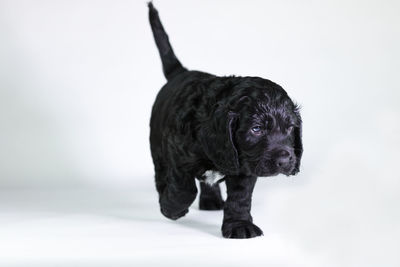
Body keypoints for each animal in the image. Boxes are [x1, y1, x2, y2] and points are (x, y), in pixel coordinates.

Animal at [148, 3, 302, 240]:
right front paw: (171, 208)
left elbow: (240, 198)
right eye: (256, 129)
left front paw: (239, 225)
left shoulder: (245, 167)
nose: (285, 160)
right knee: (161, 172)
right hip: (156, 144)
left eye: (290, 129)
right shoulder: (176, 151)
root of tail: (180, 73)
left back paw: (211, 201)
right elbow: (184, 188)